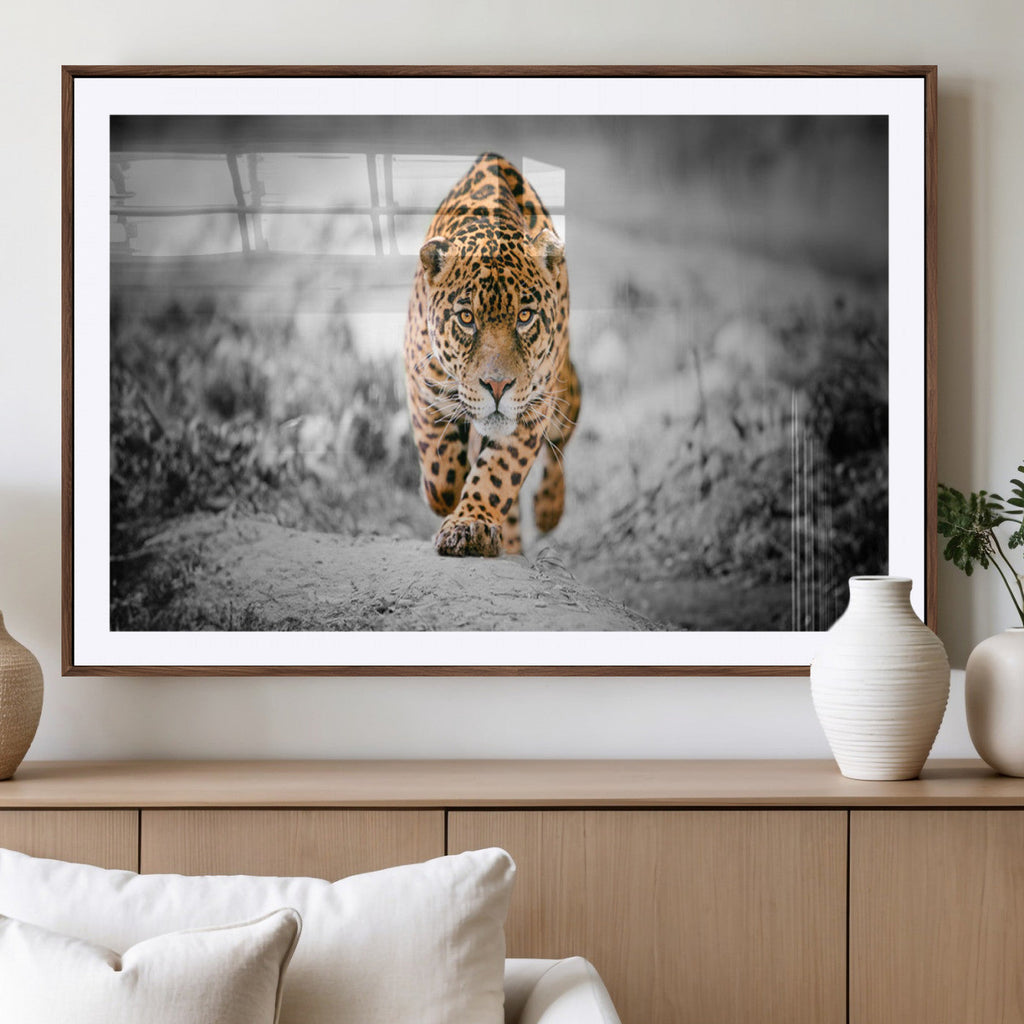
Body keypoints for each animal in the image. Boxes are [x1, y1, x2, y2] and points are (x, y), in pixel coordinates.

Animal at [403, 153, 581, 557]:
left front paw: (470, 525)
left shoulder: (533, 407)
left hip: (565, 391)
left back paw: (548, 510)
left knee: (560, 444)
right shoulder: (422, 383)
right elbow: (440, 469)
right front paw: (443, 496)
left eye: (525, 316)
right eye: (467, 318)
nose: (497, 386)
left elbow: (498, 473)